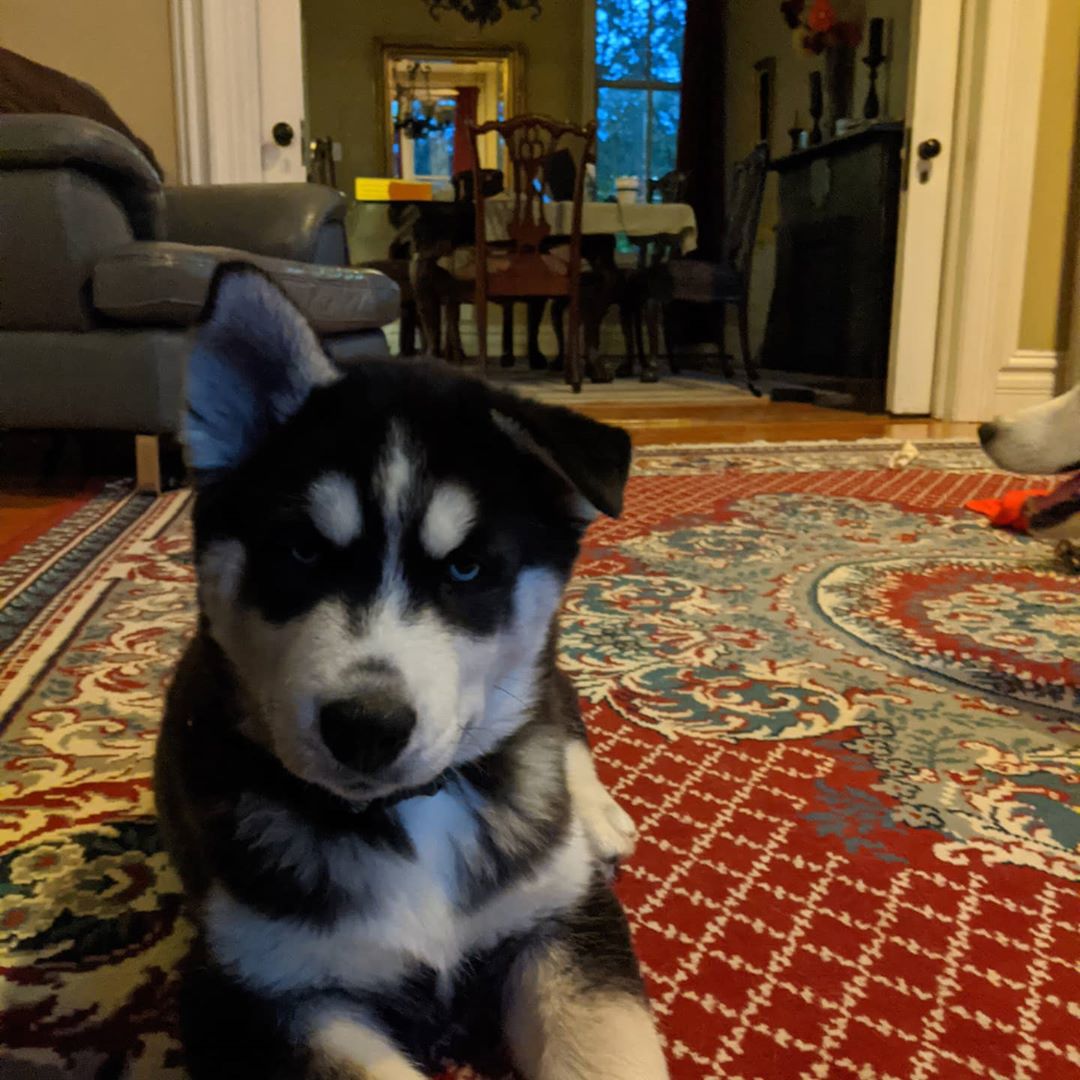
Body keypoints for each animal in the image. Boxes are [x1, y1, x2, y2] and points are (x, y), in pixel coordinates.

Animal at [154, 263, 665, 1080]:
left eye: (467, 568)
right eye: (301, 551)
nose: (367, 726)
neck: (413, 814)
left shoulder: (565, 924)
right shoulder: (252, 990)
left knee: (558, 721)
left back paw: (594, 815)